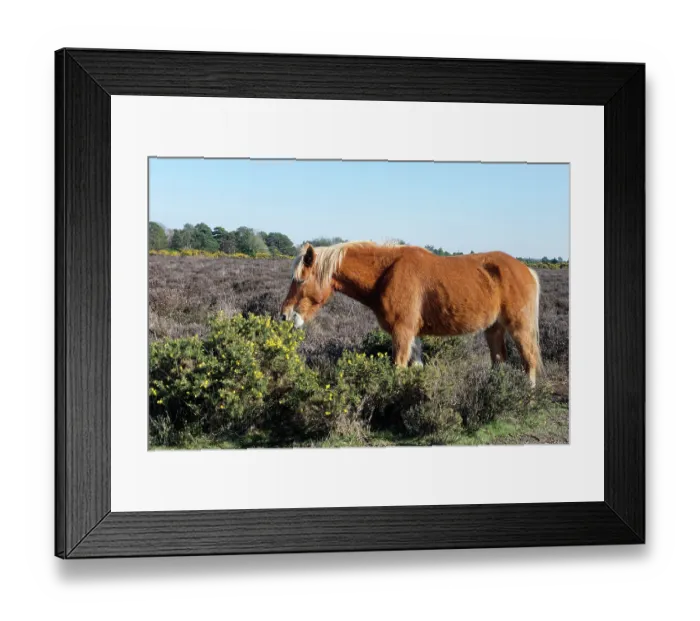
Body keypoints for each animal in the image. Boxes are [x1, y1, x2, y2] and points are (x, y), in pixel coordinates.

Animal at [280, 241, 544, 386]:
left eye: (300, 280)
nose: (284, 315)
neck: (386, 273)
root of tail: (526, 270)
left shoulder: (402, 333)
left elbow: (398, 368)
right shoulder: (413, 335)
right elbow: (415, 368)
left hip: (519, 329)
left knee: (529, 360)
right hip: (494, 329)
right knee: (499, 360)